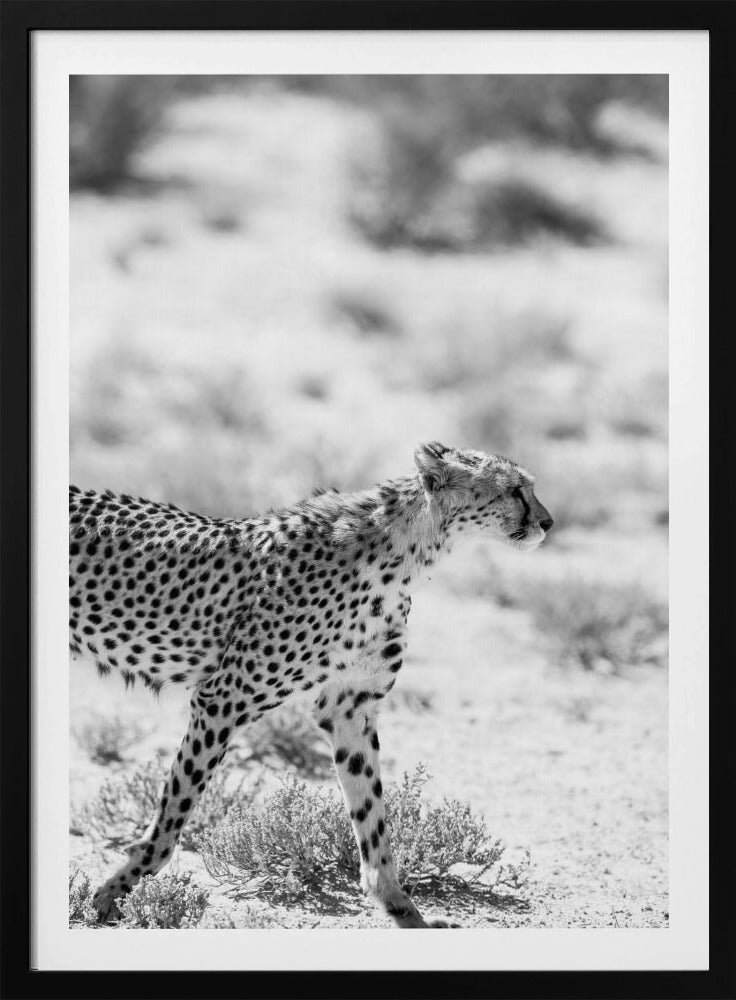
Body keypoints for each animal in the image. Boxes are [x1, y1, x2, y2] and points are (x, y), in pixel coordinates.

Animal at [69, 441, 553, 928]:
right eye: (515, 490)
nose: (548, 522)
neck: (404, 553)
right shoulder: (222, 699)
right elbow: (175, 811)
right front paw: (113, 893)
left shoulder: (349, 709)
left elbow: (371, 813)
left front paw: (401, 907)